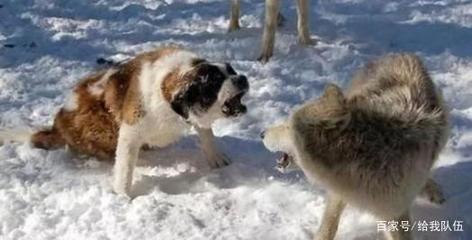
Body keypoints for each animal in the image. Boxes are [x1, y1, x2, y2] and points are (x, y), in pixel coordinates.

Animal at [0, 46, 251, 195]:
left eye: (231, 70)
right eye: (215, 80)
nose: (242, 78)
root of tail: (56, 127)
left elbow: (205, 132)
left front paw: (215, 156)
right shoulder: (131, 129)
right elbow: (125, 163)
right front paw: (122, 193)